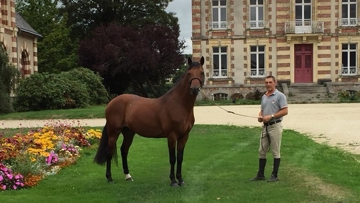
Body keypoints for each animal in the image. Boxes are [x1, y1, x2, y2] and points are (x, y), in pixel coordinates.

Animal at [94, 56, 204, 186]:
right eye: (189, 73)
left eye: (202, 73)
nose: (195, 89)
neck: (179, 104)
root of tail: (111, 102)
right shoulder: (171, 136)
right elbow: (172, 158)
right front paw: (173, 181)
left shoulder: (184, 136)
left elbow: (180, 158)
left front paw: (181, 180)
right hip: (113, 132)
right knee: (109, 152)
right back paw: (109, 178)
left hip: (129, 133)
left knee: (124, 150)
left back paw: (128, 176)